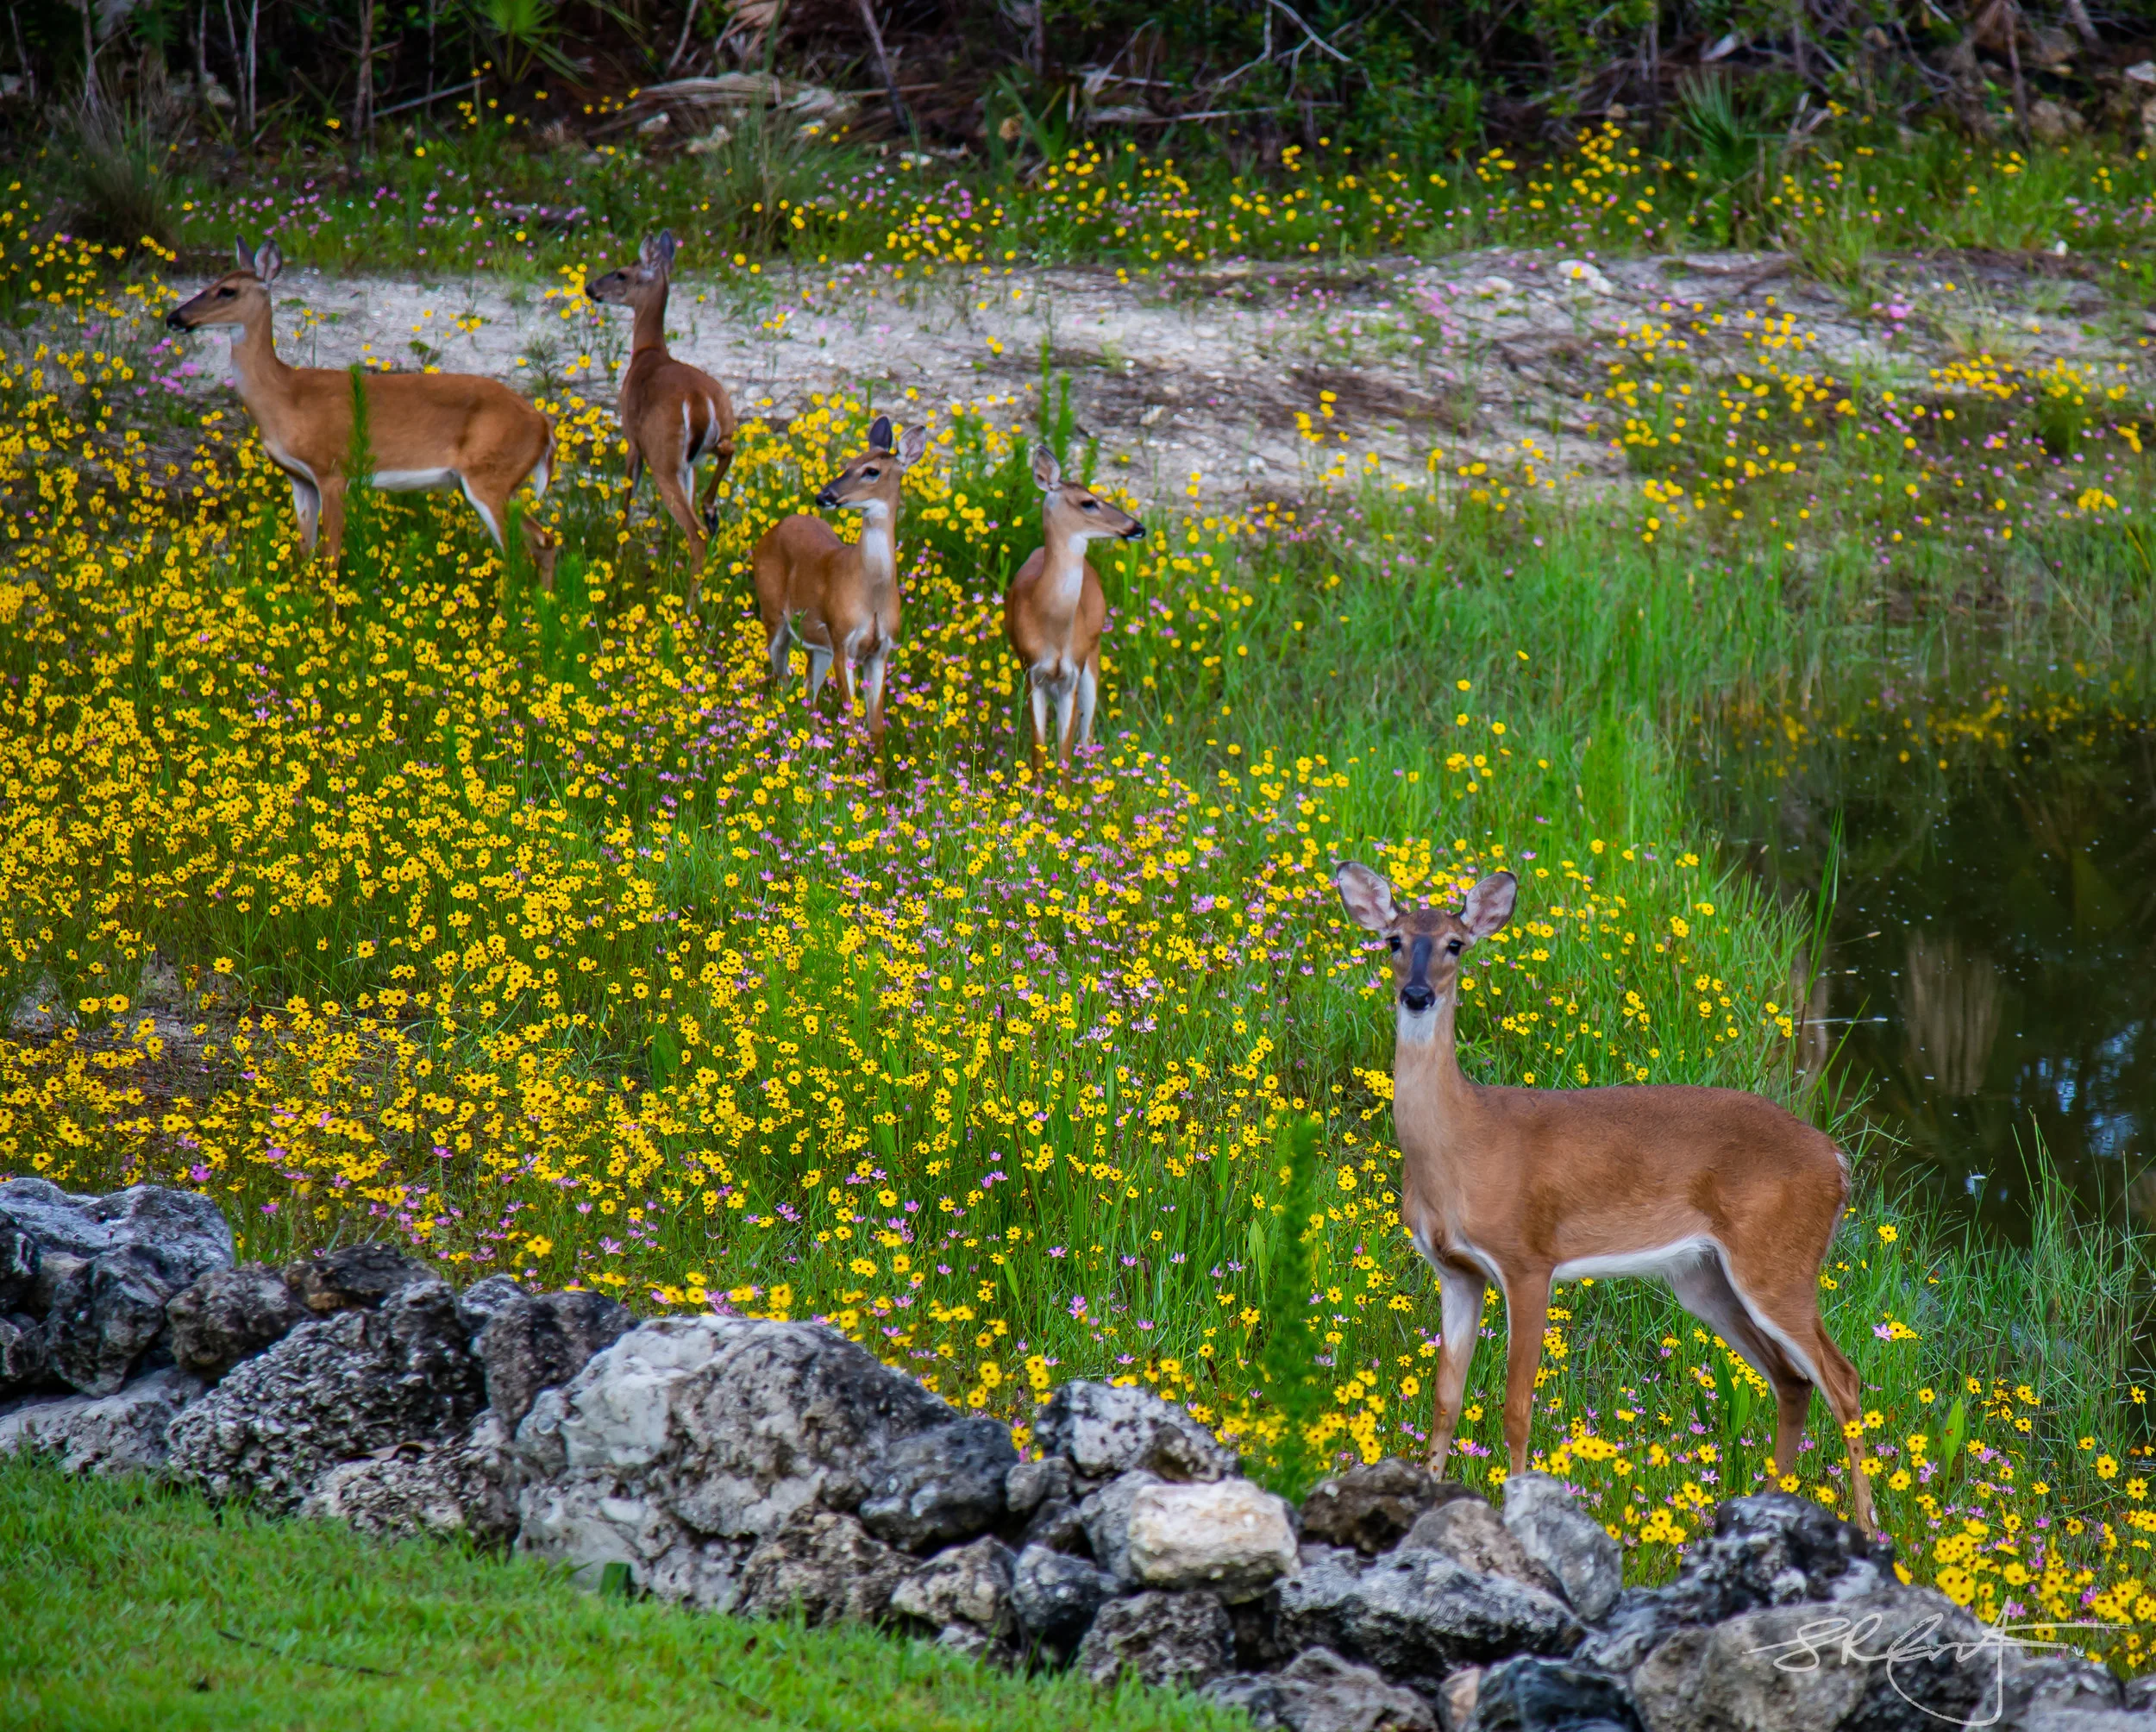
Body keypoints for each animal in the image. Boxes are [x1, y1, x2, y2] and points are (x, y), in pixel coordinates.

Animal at [165, 238, 556, 584]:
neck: (284, 397)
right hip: (493, 482)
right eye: (211, 283)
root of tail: (544, 425)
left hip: (489, 477)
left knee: (518, 554)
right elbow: (305, 554)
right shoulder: (299, 479)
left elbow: (330, 559)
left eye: (227, 290)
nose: (174, 317)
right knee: (544, 540)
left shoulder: (333, 470)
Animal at [584, 229, 738, 606]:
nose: (590, 288)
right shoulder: (690, 464)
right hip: (709, 436)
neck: (648, 352)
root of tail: (698, 399)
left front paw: (617, 559)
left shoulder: (632, 437)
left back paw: (690, 607)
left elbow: (626, 501)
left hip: (662, 453)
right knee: (726, 452)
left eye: (622, 273)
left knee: (695, 533)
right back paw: (712, 515)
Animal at [751, 413, 928, 747]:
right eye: (848, 463)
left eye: (871, 470)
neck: (870, 594)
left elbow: (876, 727)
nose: (824, 496)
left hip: (817, 645)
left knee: (807, 690)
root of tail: (775, 528)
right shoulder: (842, 638)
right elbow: (852, 719)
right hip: (773, 615)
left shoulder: (880, 649)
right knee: (782, 681)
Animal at [1004, 444, 1144, 774]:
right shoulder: (1033, 671)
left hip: (1092, 658)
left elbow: (1065, 754)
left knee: (1087, 736)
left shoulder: (1072, 674)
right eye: (1088, 502)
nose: (1137, 527)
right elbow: (1039, 752)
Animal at [1331, 860, 1879, 1536]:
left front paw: (1518, 1510)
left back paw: (1867, 1528)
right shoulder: (1455, 1271)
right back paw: (1764, 1510)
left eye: (1456, 944)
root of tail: (1838, 1162)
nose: (1416, 994)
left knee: (1842, 1378)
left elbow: (1516, 1406)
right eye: (1393, 940)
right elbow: (1445, 1399)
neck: (1462, 1145)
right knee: (1793, 1380)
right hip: (1704, 1277)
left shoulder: (1527, 1259)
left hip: (1778, 1260)